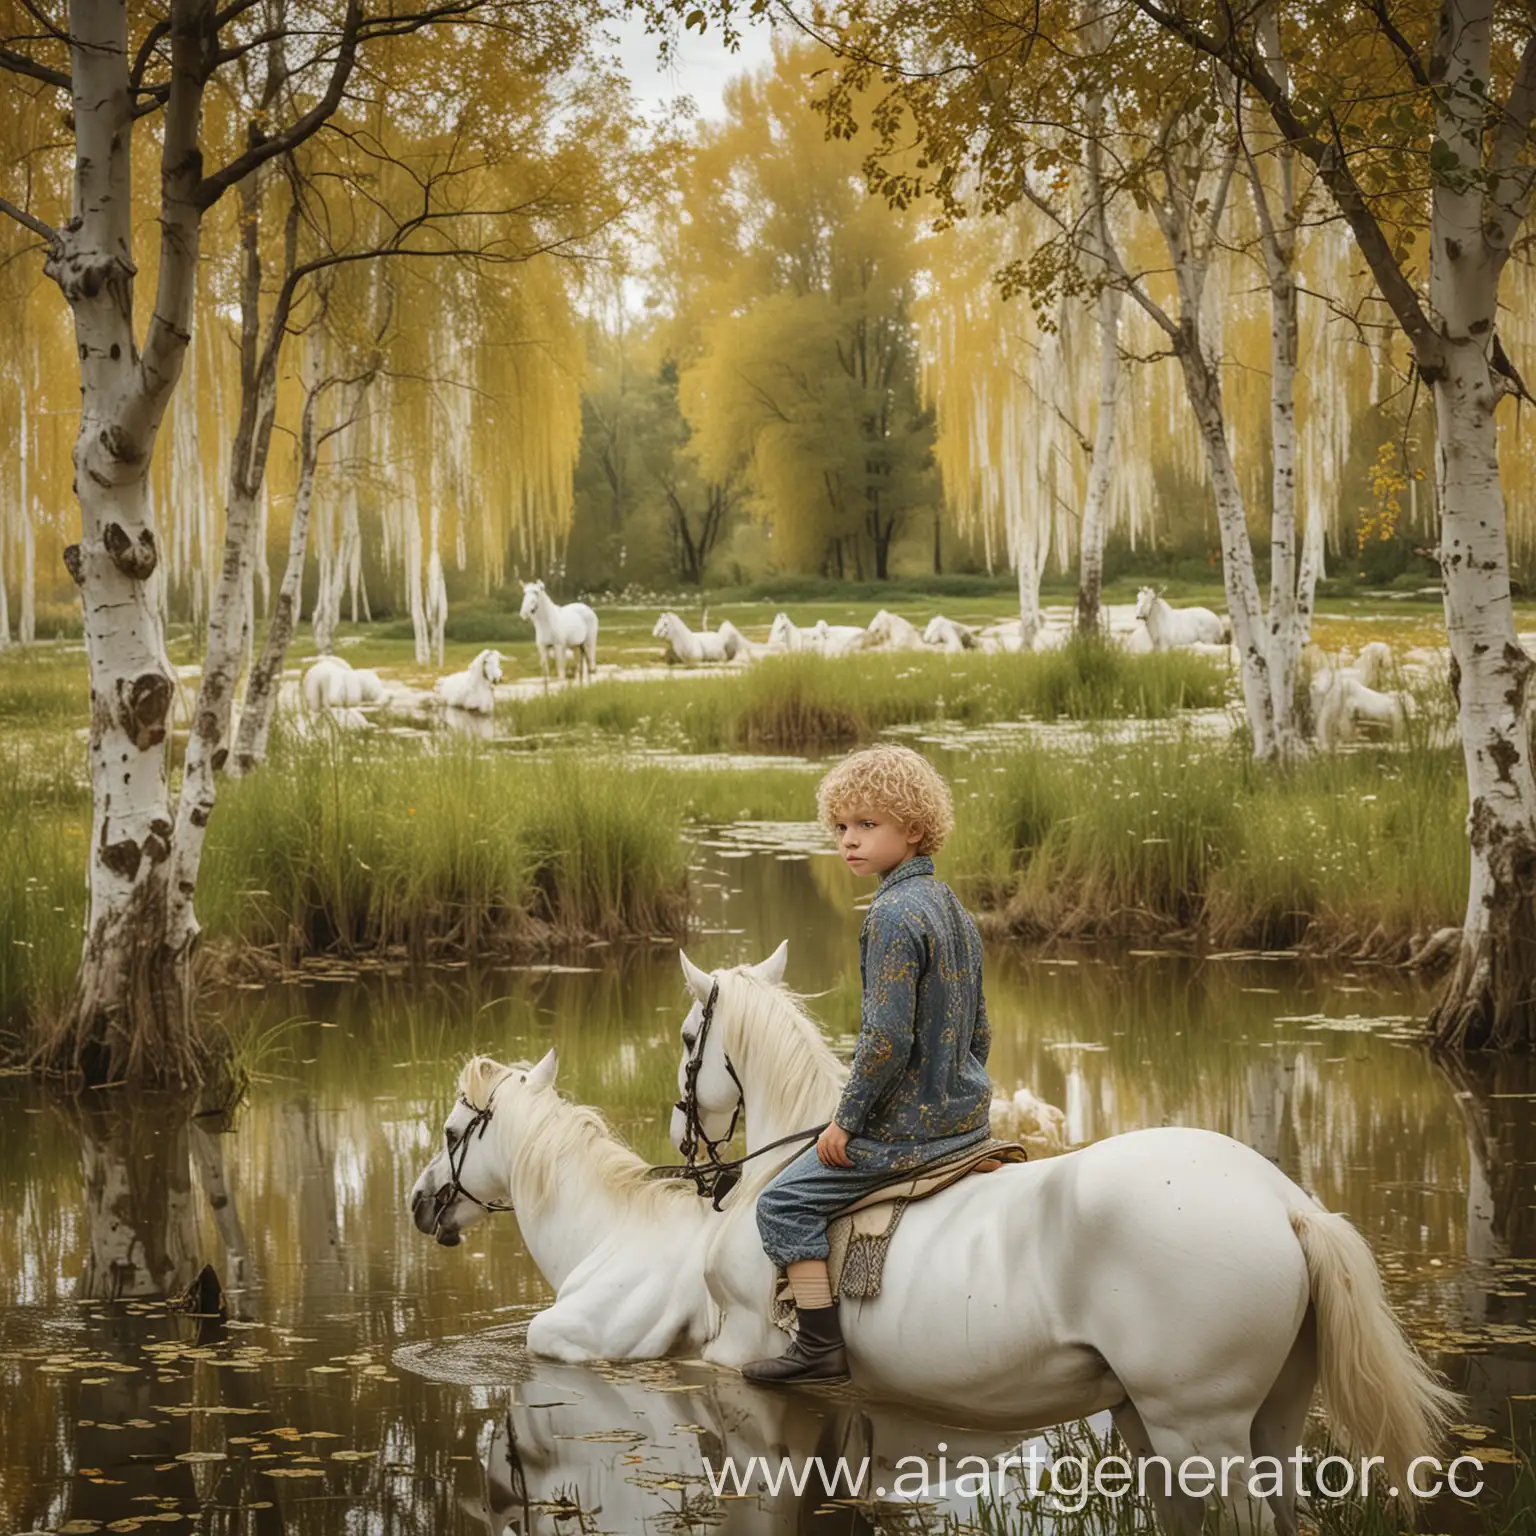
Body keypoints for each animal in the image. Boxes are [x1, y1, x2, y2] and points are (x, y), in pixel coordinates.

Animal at [666, 946, 1456, 1536]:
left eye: (685, 1039)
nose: (680, 1139)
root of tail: (1285, 1203)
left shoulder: (738, 1360)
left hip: (1200, 1432)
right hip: (1256, 1421)